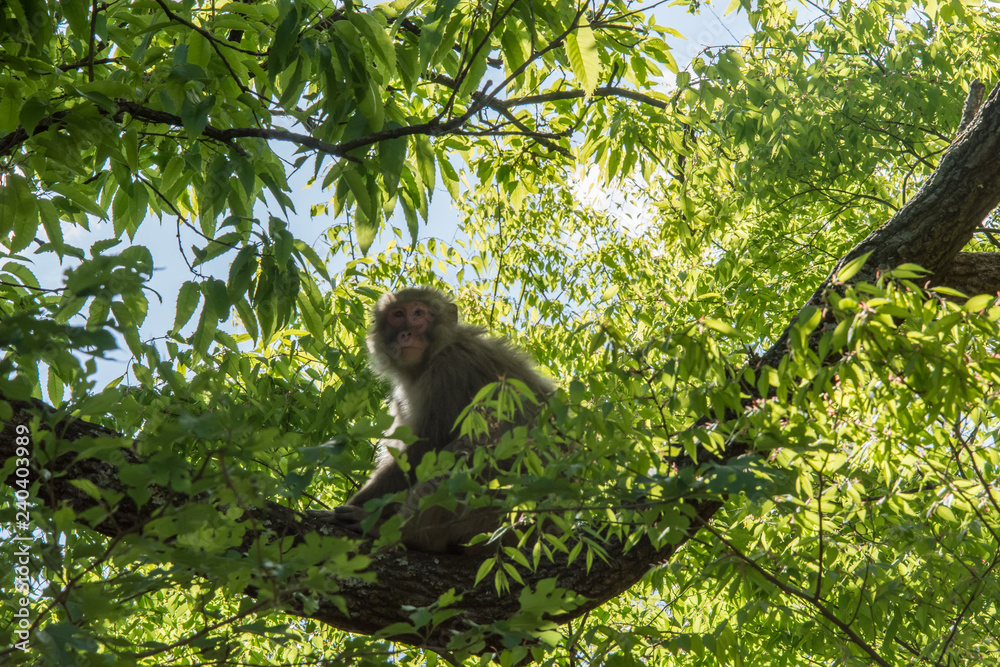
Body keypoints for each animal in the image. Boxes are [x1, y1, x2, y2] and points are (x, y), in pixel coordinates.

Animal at [333, 287, 554, 554]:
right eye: (398, 315)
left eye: (419, 314)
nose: (406, 333)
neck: (433, 355)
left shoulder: (448, 372)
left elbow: (427, 448)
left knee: (467, 450)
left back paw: (411, 535)